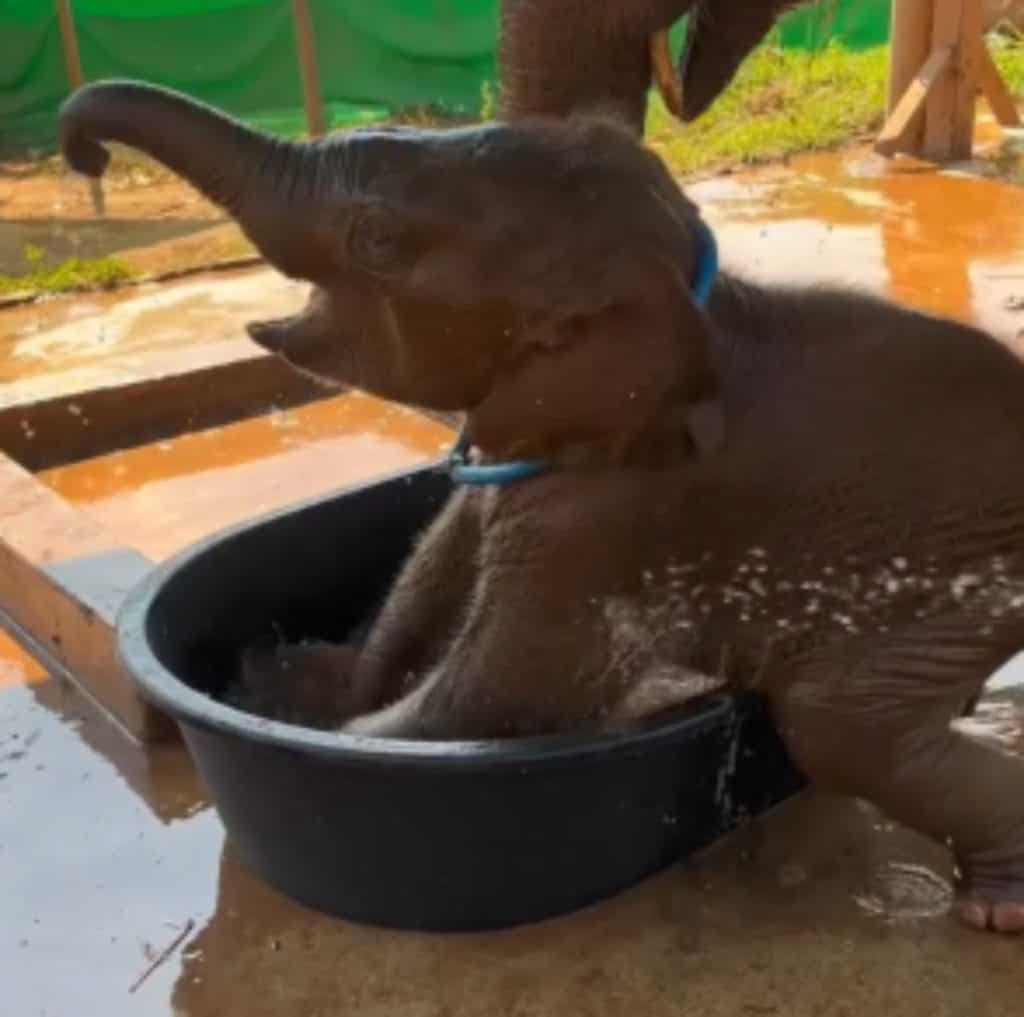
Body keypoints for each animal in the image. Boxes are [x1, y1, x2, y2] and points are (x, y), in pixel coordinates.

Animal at [59, 81, 1024, 934]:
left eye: (378, 239)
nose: (85, 155)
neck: (680, 295)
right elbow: (426, 575)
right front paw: (290, 685)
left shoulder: (610, 524)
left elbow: (497, 690)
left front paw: (330, 723)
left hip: (967, 589)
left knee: (842, 731)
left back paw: (991, 907)